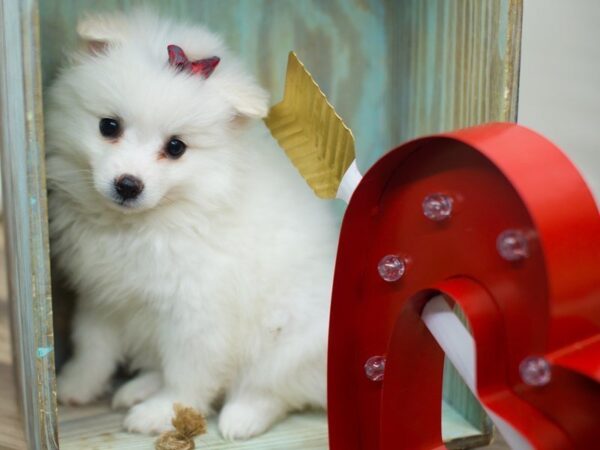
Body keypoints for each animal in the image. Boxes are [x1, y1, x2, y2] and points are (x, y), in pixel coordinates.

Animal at [45, 10, 338, 440]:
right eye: (109, 127)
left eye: (176, 148)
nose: (128, 184)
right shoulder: (103, 296)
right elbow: (93, 346)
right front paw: (75, 385)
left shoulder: (197, 313)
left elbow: (187, 374)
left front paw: (164, 412)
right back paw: (137, 387)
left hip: (290, 341)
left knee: (271, 388)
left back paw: (240, 417)